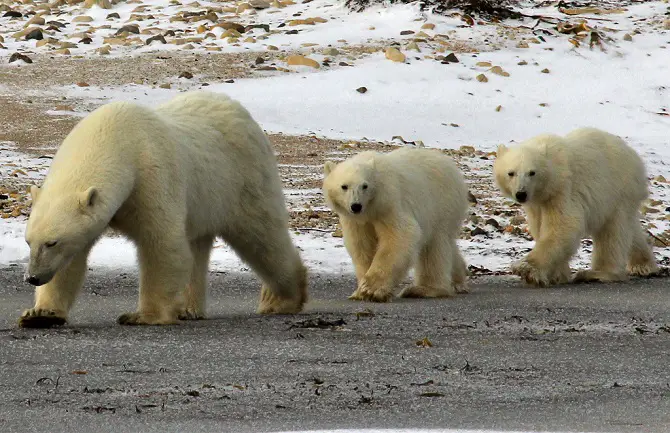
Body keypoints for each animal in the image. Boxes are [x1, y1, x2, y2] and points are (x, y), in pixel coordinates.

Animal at [20, 91, 310, 328]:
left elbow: (161, 243)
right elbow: (71, 262)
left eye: (52, 242)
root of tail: (240, 110)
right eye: (28, 242)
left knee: (262, 237)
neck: (115, 138)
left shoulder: (151, 174)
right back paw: (187, 309)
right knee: (197, 245)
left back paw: (281, 299)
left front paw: (142, 316)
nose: (32, 278)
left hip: (242, 179)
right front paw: (40, 315)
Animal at [322, 147, 470, 302]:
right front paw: (360, 290)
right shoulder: (355, 220)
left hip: (441, 204)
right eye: (344, 186)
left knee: (434, 245)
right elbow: (362, 245)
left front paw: (371, 290)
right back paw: (458, 280)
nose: (356, 206)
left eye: (365, 186)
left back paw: (423, 289)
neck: (370, 208)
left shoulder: (388, 203)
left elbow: (400, 235)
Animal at [494, 126, 660, 286]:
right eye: (511, 173)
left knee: (612, 232)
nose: (521, 194)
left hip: (618, 190)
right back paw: (643, 265)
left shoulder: (562, 191)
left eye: (532, 172)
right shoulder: (537, 203)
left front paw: (527, 269)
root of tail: (633, 155)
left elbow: (563, 226)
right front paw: (557, 275)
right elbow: (539, 227)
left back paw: (597, 273)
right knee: (630, 229)